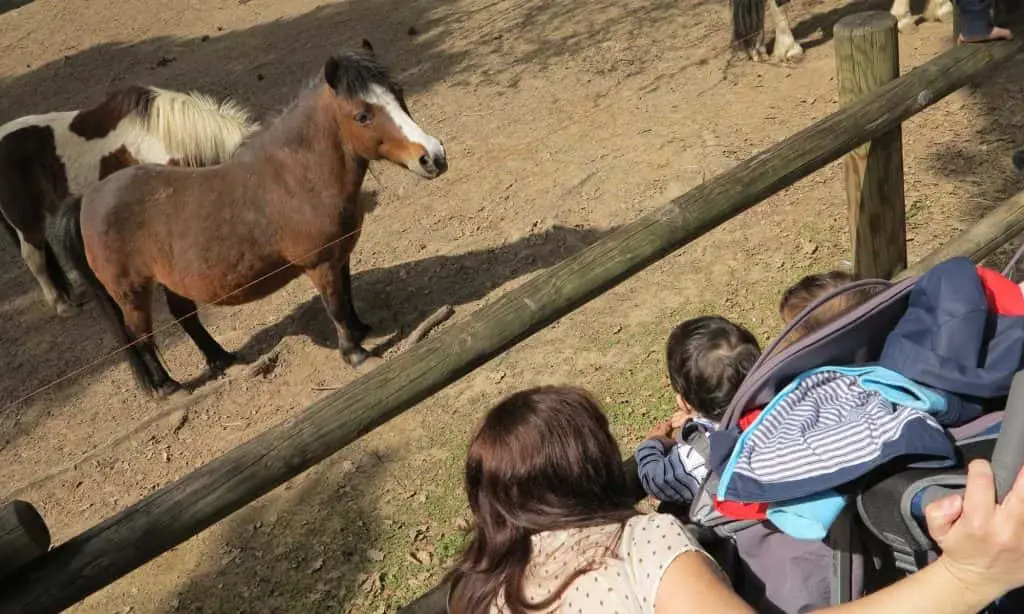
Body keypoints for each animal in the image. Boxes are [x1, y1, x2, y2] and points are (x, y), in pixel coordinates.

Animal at [53, 40, 448, 397]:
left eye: (398, 93)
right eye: (362, 115)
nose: (433, 156)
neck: (297, 175)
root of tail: (88, 199)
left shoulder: (340, 255)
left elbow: (346, 297)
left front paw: (363, 329)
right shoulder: (319, 263)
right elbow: (335, 305)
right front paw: (356, 354)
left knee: (183, 315)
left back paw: (222, 358)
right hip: (131, 291)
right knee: (140, 336)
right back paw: (168, 387)